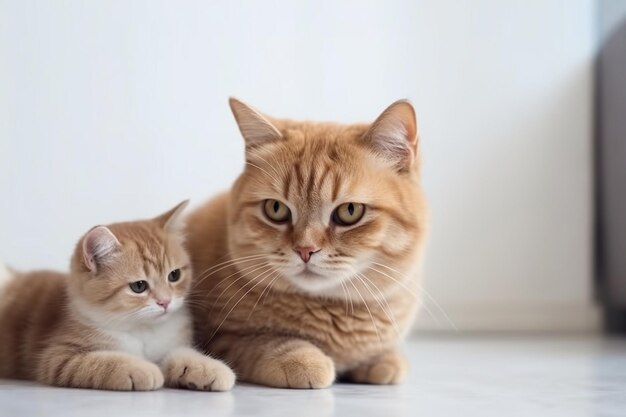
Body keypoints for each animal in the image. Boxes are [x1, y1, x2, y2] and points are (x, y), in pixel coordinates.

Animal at [0, 202, 234, 390]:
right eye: (139, 286)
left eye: (174, 275)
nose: (165, 301)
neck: (142, 329)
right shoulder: (58, 357)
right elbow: (102, 361)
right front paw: (141, 369)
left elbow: (180, 354)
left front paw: (207, 367)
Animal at [185, 97, 426, 386]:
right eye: (276, 209)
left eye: (350, 211)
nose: (305, 249)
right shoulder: (223, 337)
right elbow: (265, 343)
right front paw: (302, 359)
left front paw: (382, 360)